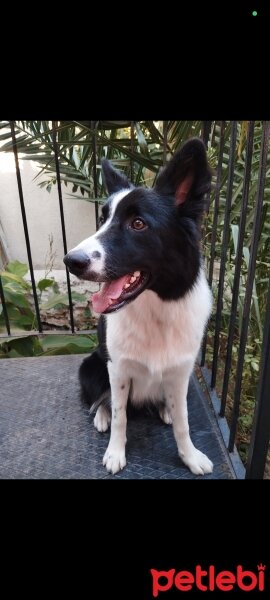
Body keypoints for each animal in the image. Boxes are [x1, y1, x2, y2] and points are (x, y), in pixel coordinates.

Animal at [63, 138, 213, 476]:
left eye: (138, 223)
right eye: (102, 220)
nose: (71, 261)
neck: (155, 311)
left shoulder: (181, 373)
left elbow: (184, 422)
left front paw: (189, 455)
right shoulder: (117, 369)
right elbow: (120, 414)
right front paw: (115, 452)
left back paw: (163, 409)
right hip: (91, 366)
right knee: (101, 400)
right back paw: (101, 415)